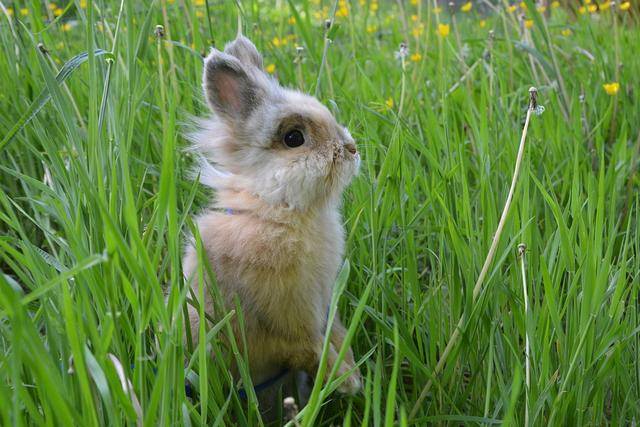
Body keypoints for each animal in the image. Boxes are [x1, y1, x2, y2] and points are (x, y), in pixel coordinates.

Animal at [184, 34, 364, 402]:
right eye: (294, 138)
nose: (352, 149)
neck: (278, 211)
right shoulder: (287, 325)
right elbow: (311, 347)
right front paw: (347, 380)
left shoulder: (324, 305)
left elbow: (335, 333)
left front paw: (351, 371)